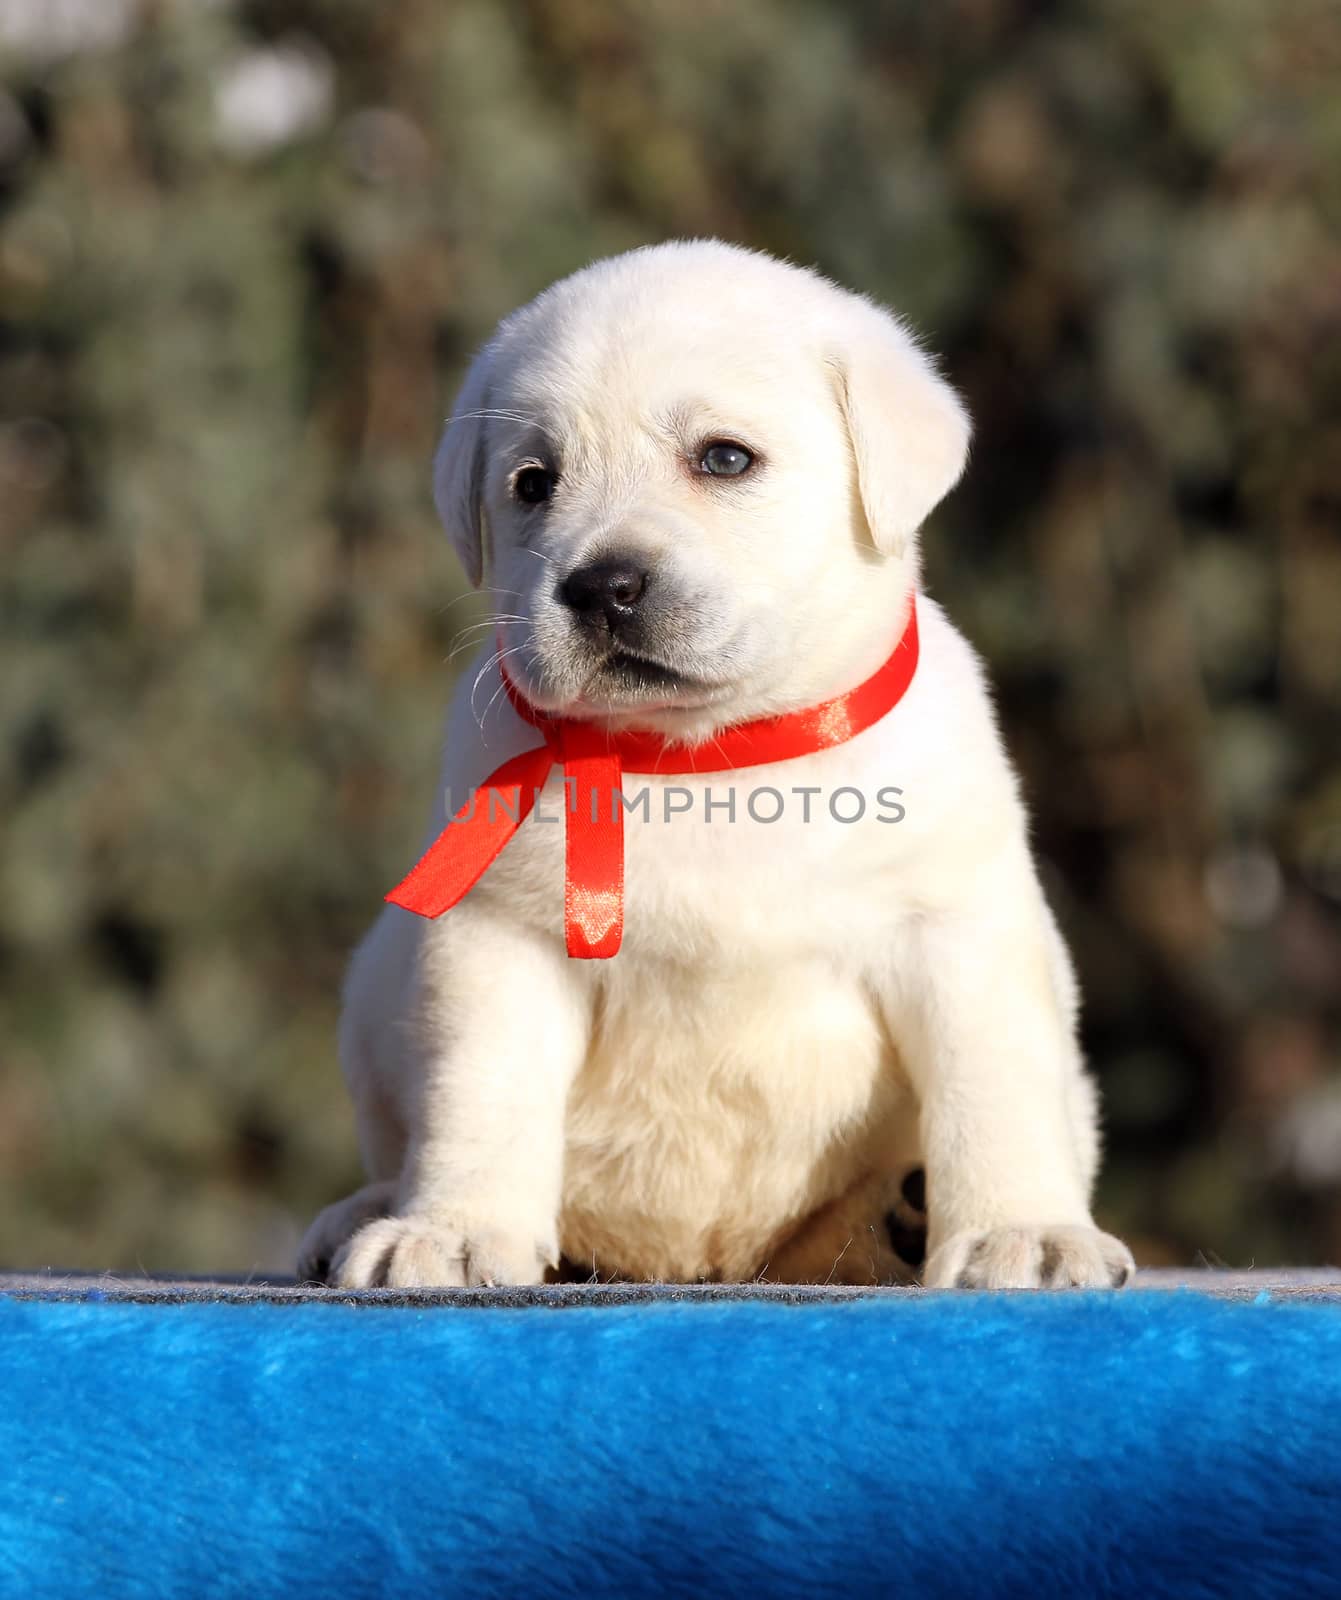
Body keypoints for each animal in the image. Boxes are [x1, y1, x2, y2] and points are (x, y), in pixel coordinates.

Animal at [302, 240, 1132, 1286]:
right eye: (533, 482)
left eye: (724, 458)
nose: (603, 587)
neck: (707, 758)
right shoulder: (499, 939)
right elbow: (480, 1094)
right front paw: (449, 1229)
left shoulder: (956, 927)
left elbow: (993, 1089)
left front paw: (1018, 1231)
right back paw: (364, 1209)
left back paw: (898, 1218)